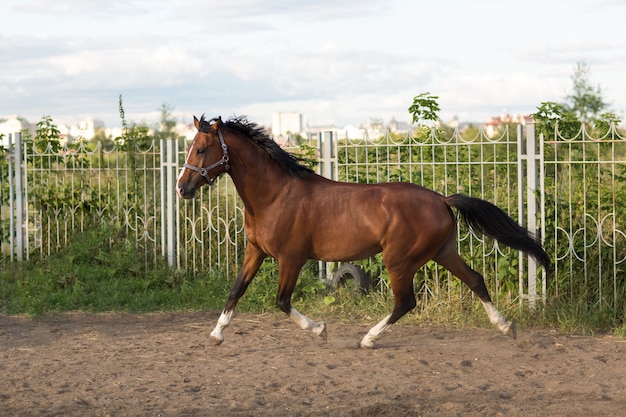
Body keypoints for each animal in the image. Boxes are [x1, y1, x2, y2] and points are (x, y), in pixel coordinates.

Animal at [174, 114, 544, 348]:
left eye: (202, 149)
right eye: (191, 147)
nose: (182, 188)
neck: (275, 195)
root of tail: (441, 199)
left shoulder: (291, 258)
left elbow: (282, 301)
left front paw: (320, 330)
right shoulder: (256, 251)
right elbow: (236, 289)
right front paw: (216, 335)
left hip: (399, 261)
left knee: (405, 302)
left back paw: (368, 339)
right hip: (442, 252)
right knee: (475, 280)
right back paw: (506, 327)